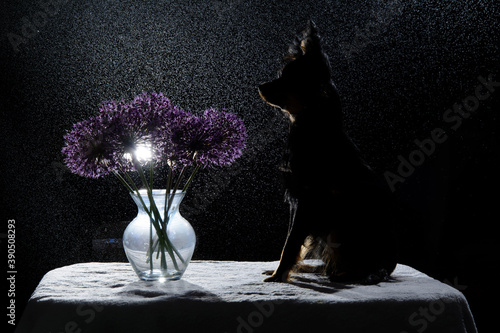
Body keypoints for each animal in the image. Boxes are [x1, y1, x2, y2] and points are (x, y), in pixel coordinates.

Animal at [260, 20, 396, 282]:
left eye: (286, 79)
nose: (260, 85)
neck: (311, 126)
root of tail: (388, 267)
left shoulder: (305, 200)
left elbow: (291, 243)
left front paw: (279, 276)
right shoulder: (296, 201)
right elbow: (290, 243)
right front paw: (280, 271)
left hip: (343, 225)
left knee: (357, 268)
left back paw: (345, 275)